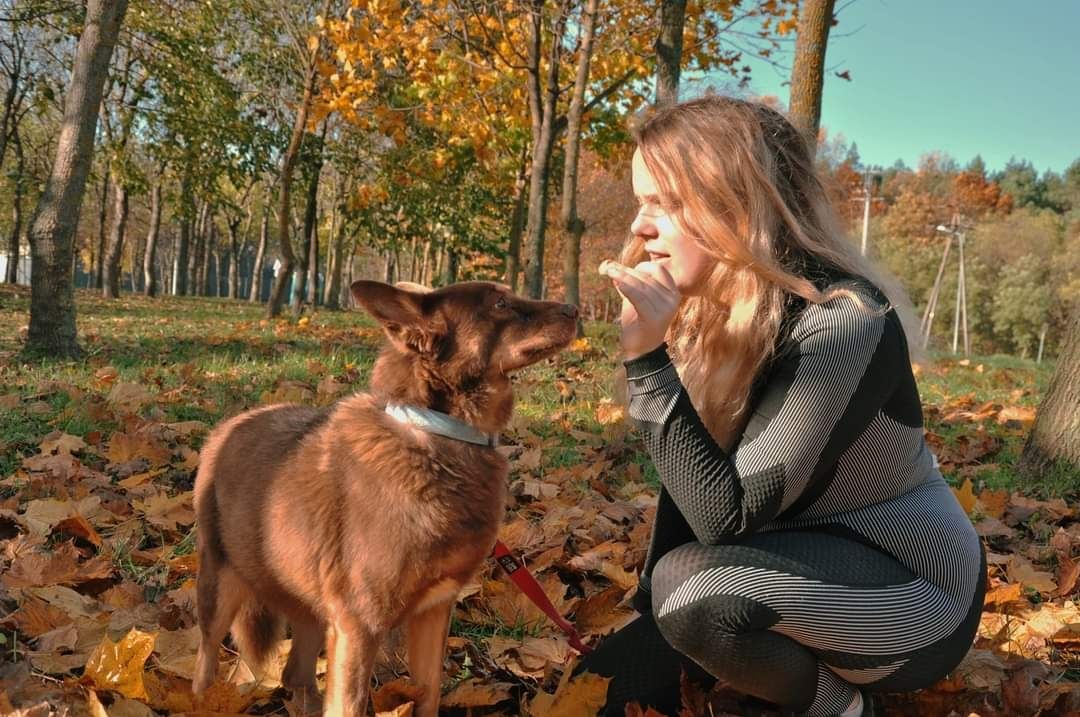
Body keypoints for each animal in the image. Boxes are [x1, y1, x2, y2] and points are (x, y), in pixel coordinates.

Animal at [194, 280, 583, 717]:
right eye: (500, 303)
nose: (575, 310)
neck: (436, 433)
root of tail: (228, 425)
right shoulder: (358, 627)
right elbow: (347, 706)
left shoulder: (434, 612)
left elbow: (428, 693)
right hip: (220, 586)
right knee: (205, 664)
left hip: (307, 603)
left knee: (295, 675)